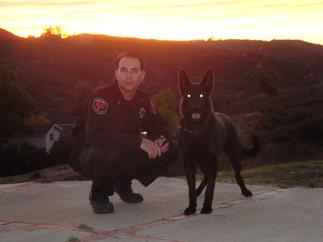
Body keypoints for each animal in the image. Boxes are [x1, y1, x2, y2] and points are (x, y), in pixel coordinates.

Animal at [180, 69, 260, 215]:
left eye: (201, 95)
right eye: (188, 95)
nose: (195, 107)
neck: (197, 130)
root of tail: (227, 118)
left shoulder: (212, 161)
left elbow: (210, 188)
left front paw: (206, 207)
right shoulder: (188, 163)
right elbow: (191, 188)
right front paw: (192, 207)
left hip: (233, 155)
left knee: (237, 175)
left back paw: (245, 191)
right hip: (203, 163)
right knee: (206, 176)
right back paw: (198, 191)